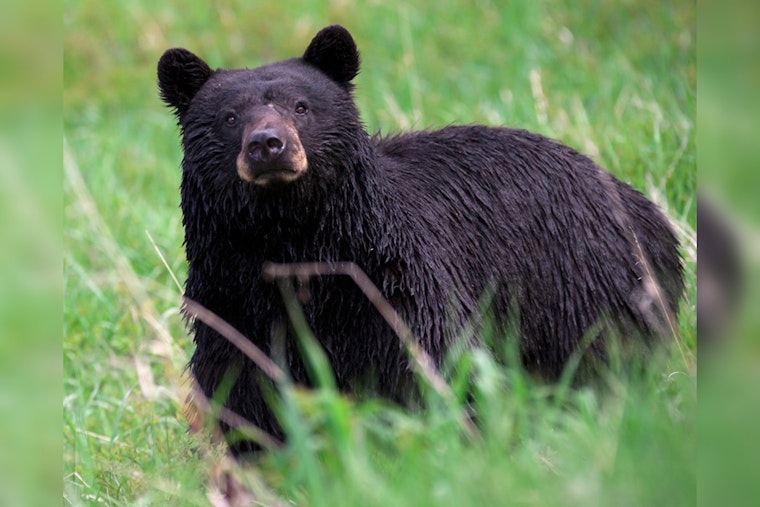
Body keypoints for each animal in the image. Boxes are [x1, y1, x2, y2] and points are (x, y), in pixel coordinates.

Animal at [157, 25, 683, 455]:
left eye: (302, 107)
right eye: (228, 117)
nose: (268, 145)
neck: (293, 243)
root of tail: (644, 207)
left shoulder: (393, 286)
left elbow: (425, 365)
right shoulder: (232, 302)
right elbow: (246, 392)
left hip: (584, 286)